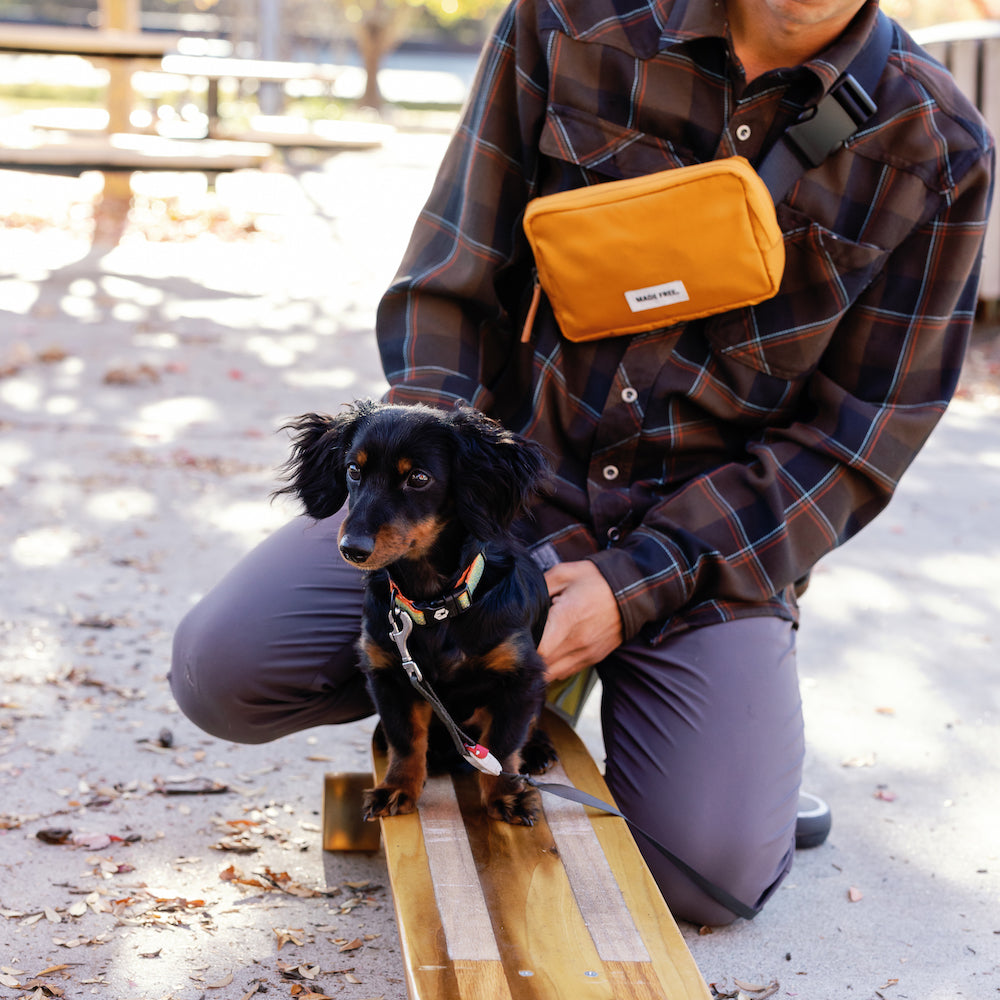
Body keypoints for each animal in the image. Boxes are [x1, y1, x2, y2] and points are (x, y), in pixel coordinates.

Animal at [276, 400, 556, 828]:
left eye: (418, 478)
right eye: (353, 470)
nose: (351, 549)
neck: (433, 606)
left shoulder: (520, 676)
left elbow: (504, 742)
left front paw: (507, 795)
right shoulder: (390, 672)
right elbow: (405, 739)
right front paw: (397, 788)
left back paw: (538, 749)